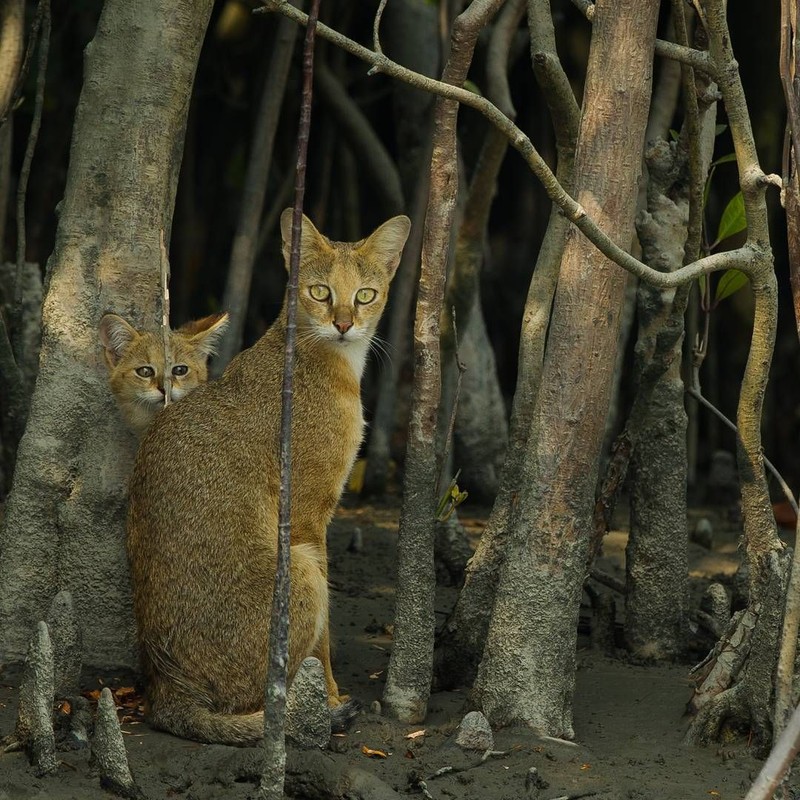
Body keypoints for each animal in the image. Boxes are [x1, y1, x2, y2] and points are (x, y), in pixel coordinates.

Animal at [126, 211, 412, 744]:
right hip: (297, 573)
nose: (344, 324)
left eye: (366, 294)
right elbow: (324, 637)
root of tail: (166, 691)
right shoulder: (307, 515)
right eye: (319, 291)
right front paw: (330, 695)